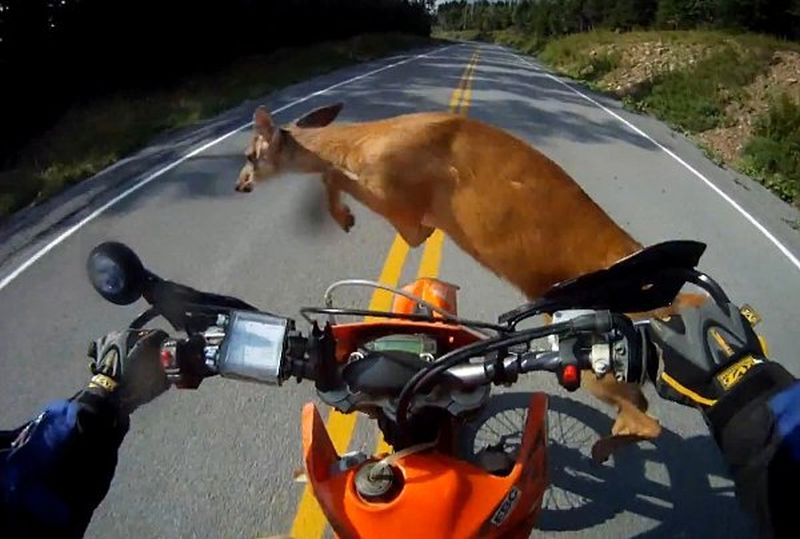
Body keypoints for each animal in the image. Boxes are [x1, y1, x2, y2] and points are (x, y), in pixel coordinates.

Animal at [234, 103, 684, 462]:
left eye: (250, 155)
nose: (239, 184)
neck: (359, 143)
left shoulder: (408, 210)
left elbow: (332, 176)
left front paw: (344, 217)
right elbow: (331, 175)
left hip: (593, 352)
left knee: (645, 419)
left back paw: (597, 450)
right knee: (642, 406)